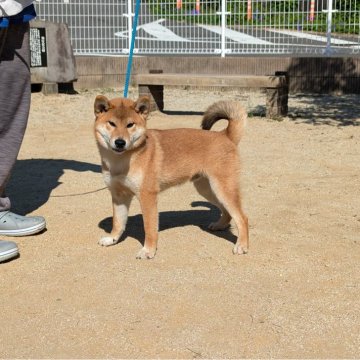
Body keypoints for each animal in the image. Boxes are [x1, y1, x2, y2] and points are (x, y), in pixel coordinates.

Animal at [94, 95, 249, 258]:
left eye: (130, 125)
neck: (121, 161)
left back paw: (242, 245)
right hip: (208, 189)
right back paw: (220, 225)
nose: (120, 142)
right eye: (111, 123)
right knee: (227, 211)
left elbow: (149, 228)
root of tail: (225, 135)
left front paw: (148, 250)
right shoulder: (119, 195)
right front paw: (112, 239)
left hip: (223, 189)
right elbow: (118, 223)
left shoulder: (147, 197)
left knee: (242, 218)